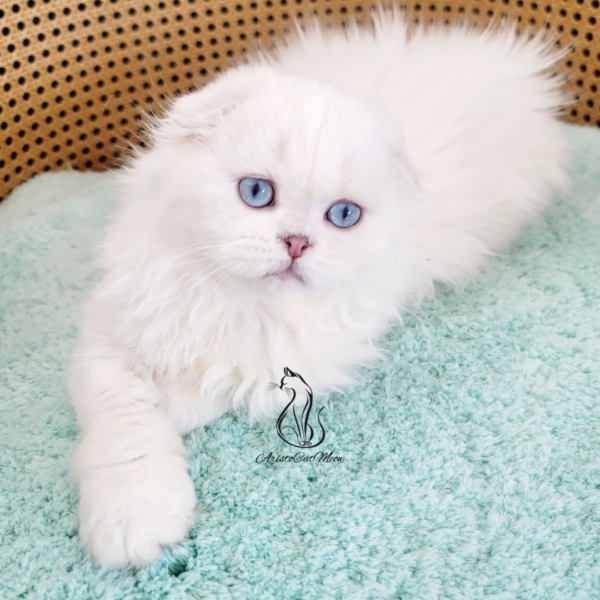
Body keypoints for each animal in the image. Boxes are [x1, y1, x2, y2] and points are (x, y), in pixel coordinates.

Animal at [68, 12, 568, 568]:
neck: (233, 300)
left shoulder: (296, 359)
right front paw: (133, 515)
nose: (297, 243)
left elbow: (203, 391)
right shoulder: (109, 330)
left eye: (343, 215)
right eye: (256, 192)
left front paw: (169, 412)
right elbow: (126, 422)